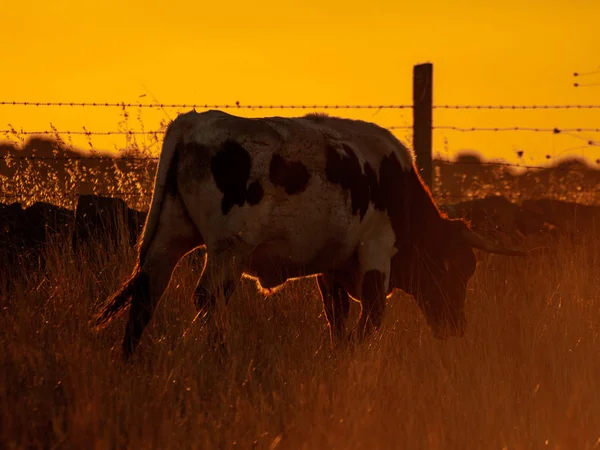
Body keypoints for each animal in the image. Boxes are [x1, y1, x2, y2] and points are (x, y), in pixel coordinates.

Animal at [90, 110, 524, 360]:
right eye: (456, 269)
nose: (456, 327)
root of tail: (193, 122)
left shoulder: (331, 265)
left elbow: (337, 317)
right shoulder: (376, 250)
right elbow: (372, 315)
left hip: (168, 238)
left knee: (147, 295)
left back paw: (129, 363)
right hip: (228, 249)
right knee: (208, 299)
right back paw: (221, 356)